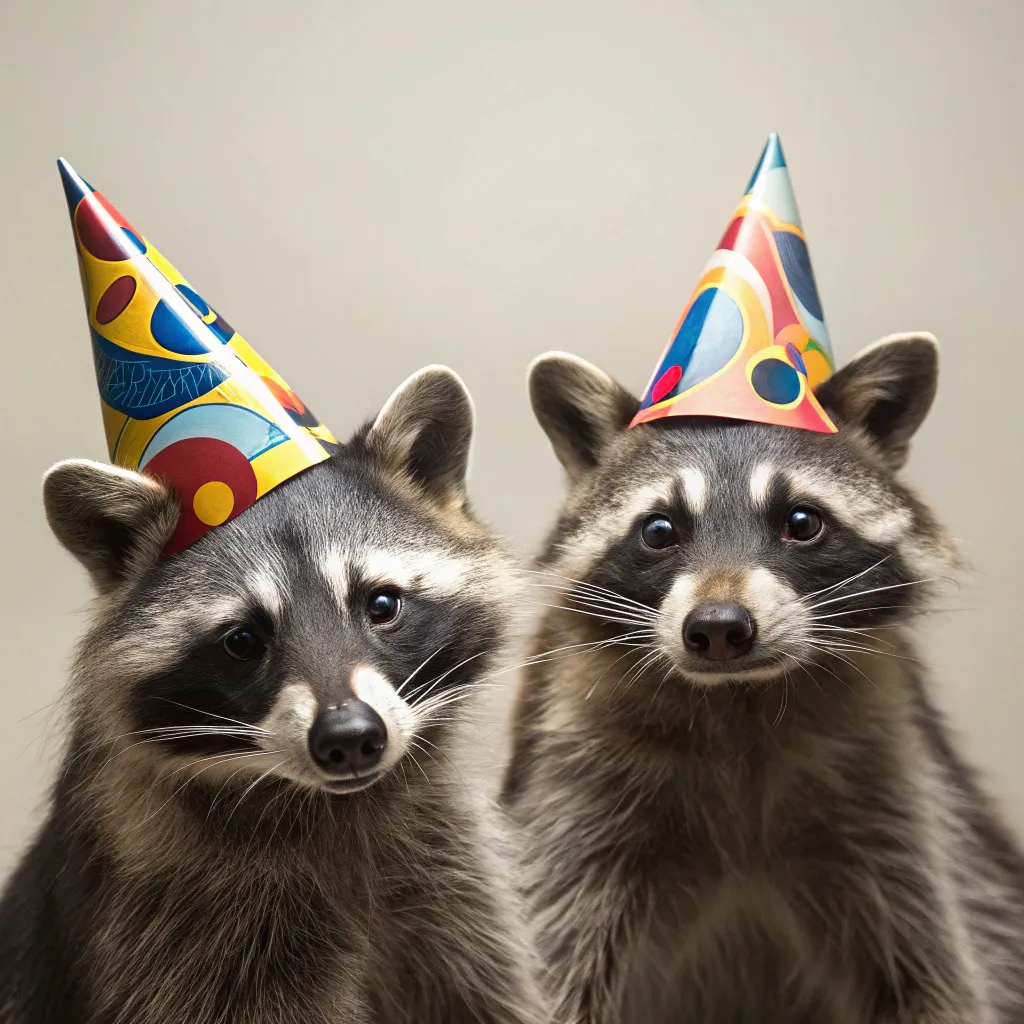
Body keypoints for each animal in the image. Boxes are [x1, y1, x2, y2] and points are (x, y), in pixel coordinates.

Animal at [0, 366, 546, 1024]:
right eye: (242, 640)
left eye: (381, 604)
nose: (349, 738)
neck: (329, 802)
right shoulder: (174, 933)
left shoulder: (458, 896)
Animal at [502, 335, 1024, 1024]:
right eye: (660, 530)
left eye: (801, 522)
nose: (719, 628)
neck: (738, 699)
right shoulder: (568, 802)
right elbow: (550, 961)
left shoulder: (897, 801)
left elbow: (938, 976)